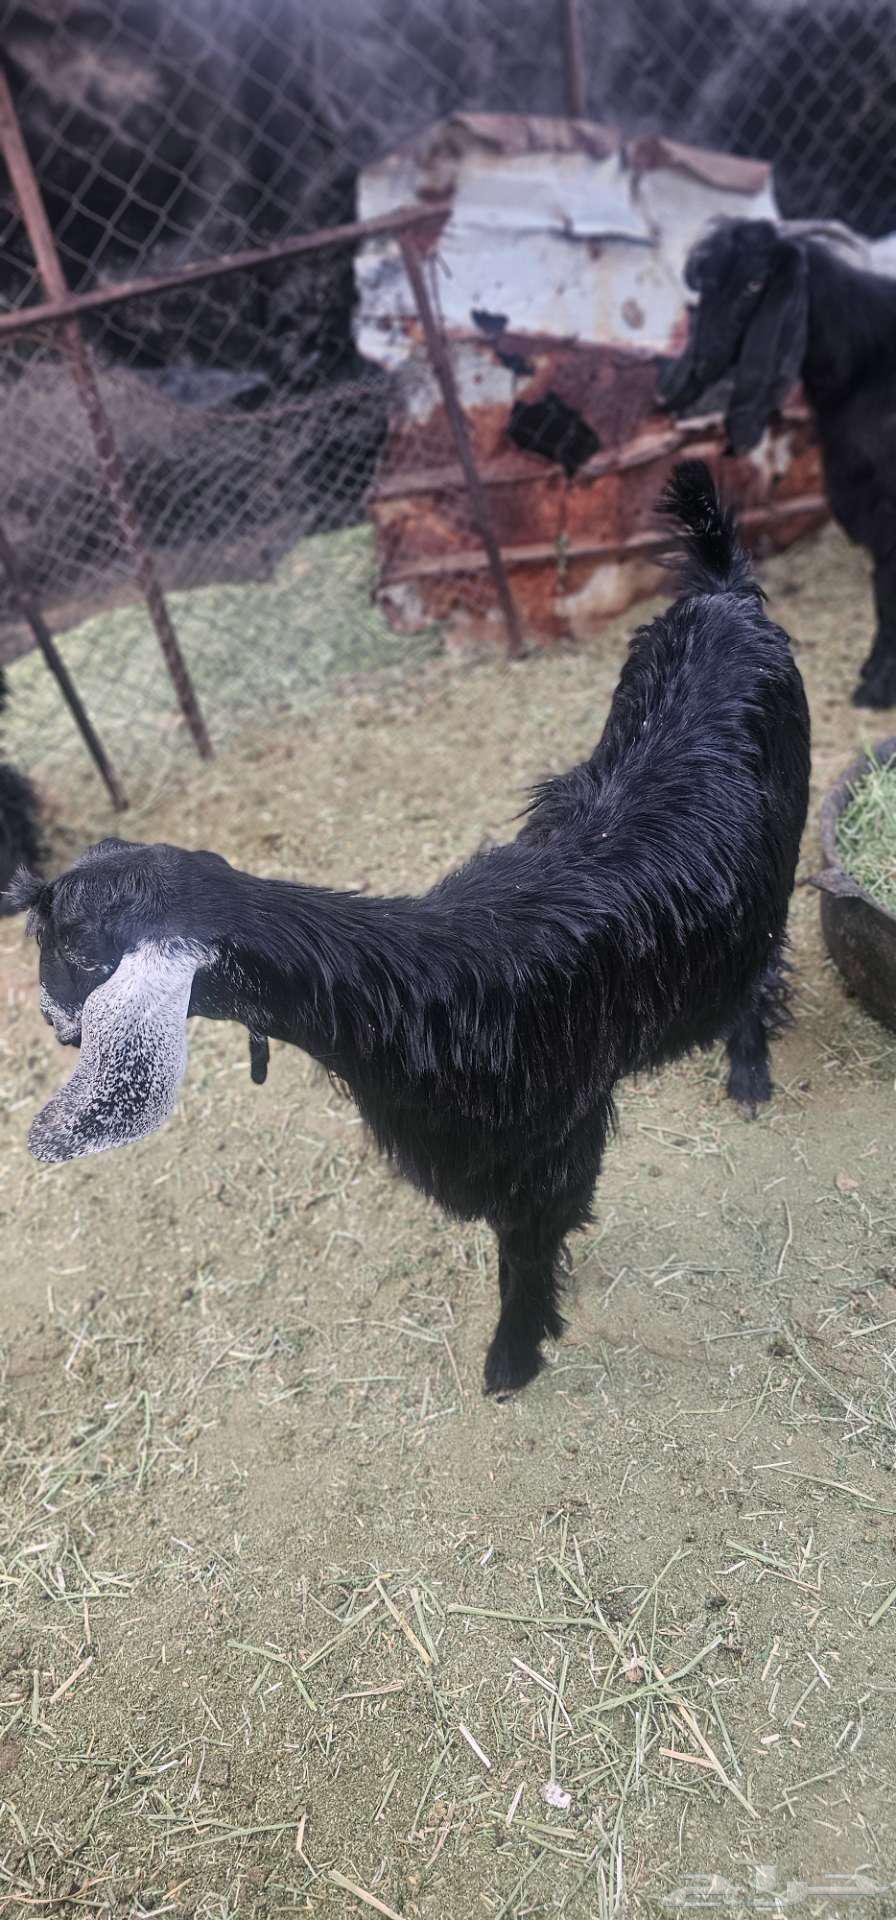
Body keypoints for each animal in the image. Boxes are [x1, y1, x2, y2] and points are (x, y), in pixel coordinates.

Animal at [12, 463, 810, 1397]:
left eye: (77, 952)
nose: (49, 1022)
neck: (424, 986)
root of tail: (722, 592)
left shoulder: (548, 1143)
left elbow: (530, 1249)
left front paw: (512, 1358)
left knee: (764, 960)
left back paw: (749, 1072)